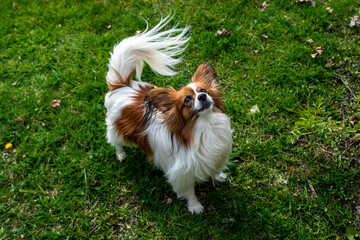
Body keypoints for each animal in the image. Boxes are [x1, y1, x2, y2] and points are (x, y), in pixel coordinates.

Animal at [105, 15, 232, 213]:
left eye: (203, 90)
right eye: (187, 100)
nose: (203, 96)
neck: (206, 126)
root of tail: (122, 85)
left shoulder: (215, 156)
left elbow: (214, 169)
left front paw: (217, 176)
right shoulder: (181, 174)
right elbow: (189, 191)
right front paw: (195, 206)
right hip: (117, 129)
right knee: (115, 142)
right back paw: (121, 155)